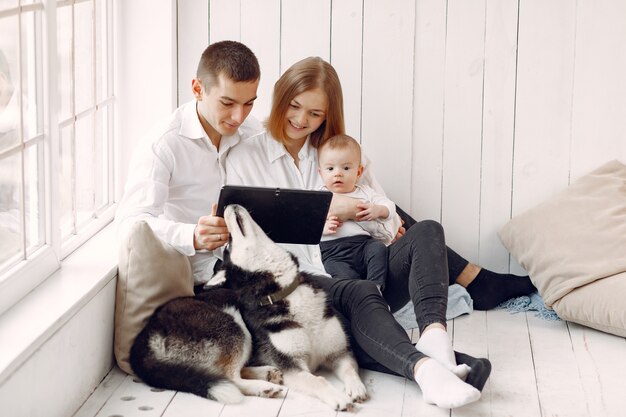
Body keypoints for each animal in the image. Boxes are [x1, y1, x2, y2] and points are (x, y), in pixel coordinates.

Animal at [129, 203, 368, 408]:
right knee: (229, 377)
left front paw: (356, 388)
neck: (283, 290)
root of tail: (143, 338)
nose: (228, 205)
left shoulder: (339, 352)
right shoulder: (292, 366)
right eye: (227, 243)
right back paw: (262, 386)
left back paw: (266, 374)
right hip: (232, 326)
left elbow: (350, 369)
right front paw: (338, 398)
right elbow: (317, 380)